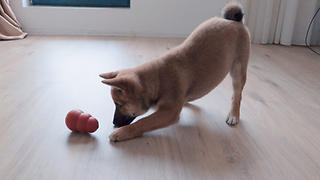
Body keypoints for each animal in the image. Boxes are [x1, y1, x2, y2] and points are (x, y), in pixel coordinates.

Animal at [100, 2, 250, 141]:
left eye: (119, 105)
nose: (113, 122)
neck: (158, 80)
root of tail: (234, 21)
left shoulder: (169, 112)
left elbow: (143, 122)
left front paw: (122, 132)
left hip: (238, 70)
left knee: (237, 95)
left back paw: (233, 115)